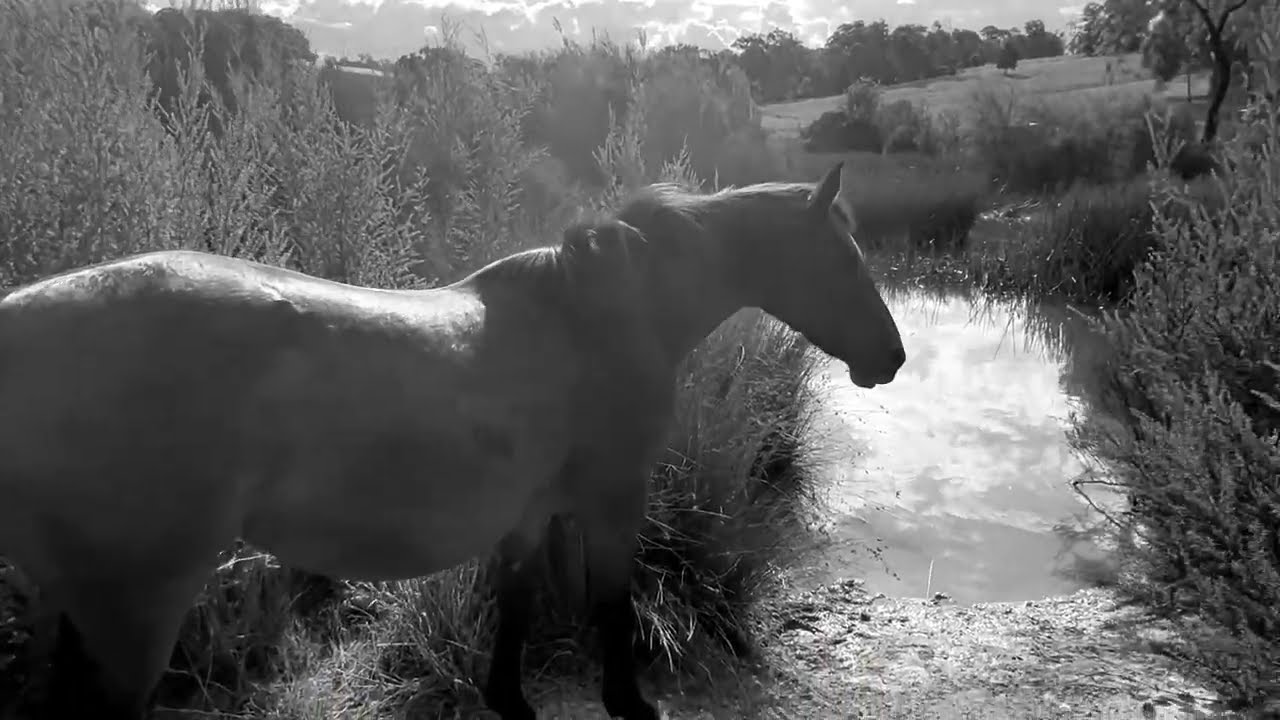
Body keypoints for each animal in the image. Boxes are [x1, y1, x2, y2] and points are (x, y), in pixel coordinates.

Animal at [0, 160, 905, 720]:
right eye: (845, 260)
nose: (891, 358)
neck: (600, 314)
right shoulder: (612, 502)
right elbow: (612, 604)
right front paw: (631, 701)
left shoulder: (531, 512)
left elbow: (516, 604)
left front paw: (511, 699)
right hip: (138, 604)